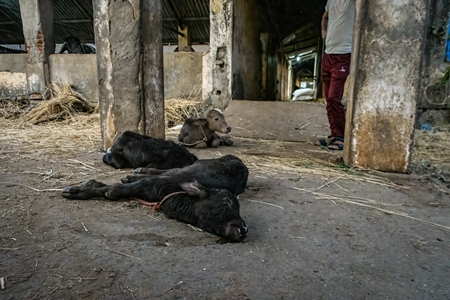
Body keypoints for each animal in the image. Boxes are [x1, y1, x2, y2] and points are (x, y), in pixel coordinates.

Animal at [62, 177, 248, 243]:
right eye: (226, 201)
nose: (245, 228)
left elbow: (111, 189)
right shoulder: (148, 185)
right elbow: (113, 190)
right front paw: (76, 190)